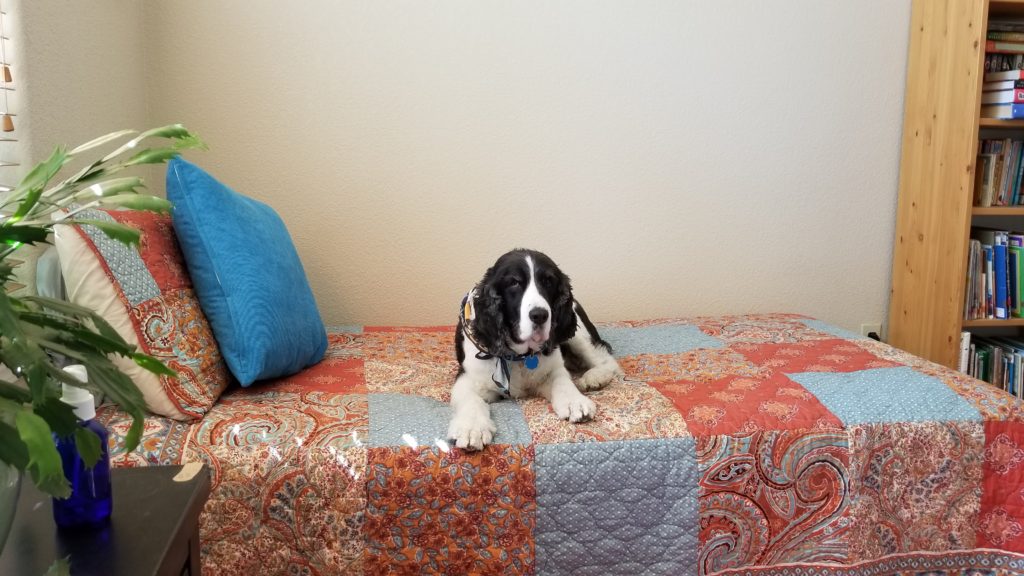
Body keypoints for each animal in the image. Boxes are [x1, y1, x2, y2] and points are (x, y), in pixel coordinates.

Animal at [448, 247, 622, 448]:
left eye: (548, 281)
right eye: (514, 283)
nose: (540, 315)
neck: (520, 356)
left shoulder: (551, 368)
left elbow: (562, 381)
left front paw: (575, 402)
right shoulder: (468, 378)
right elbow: (471, 400)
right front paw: (472, 428)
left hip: (579, 335)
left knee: (606, 359)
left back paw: (594, 378)